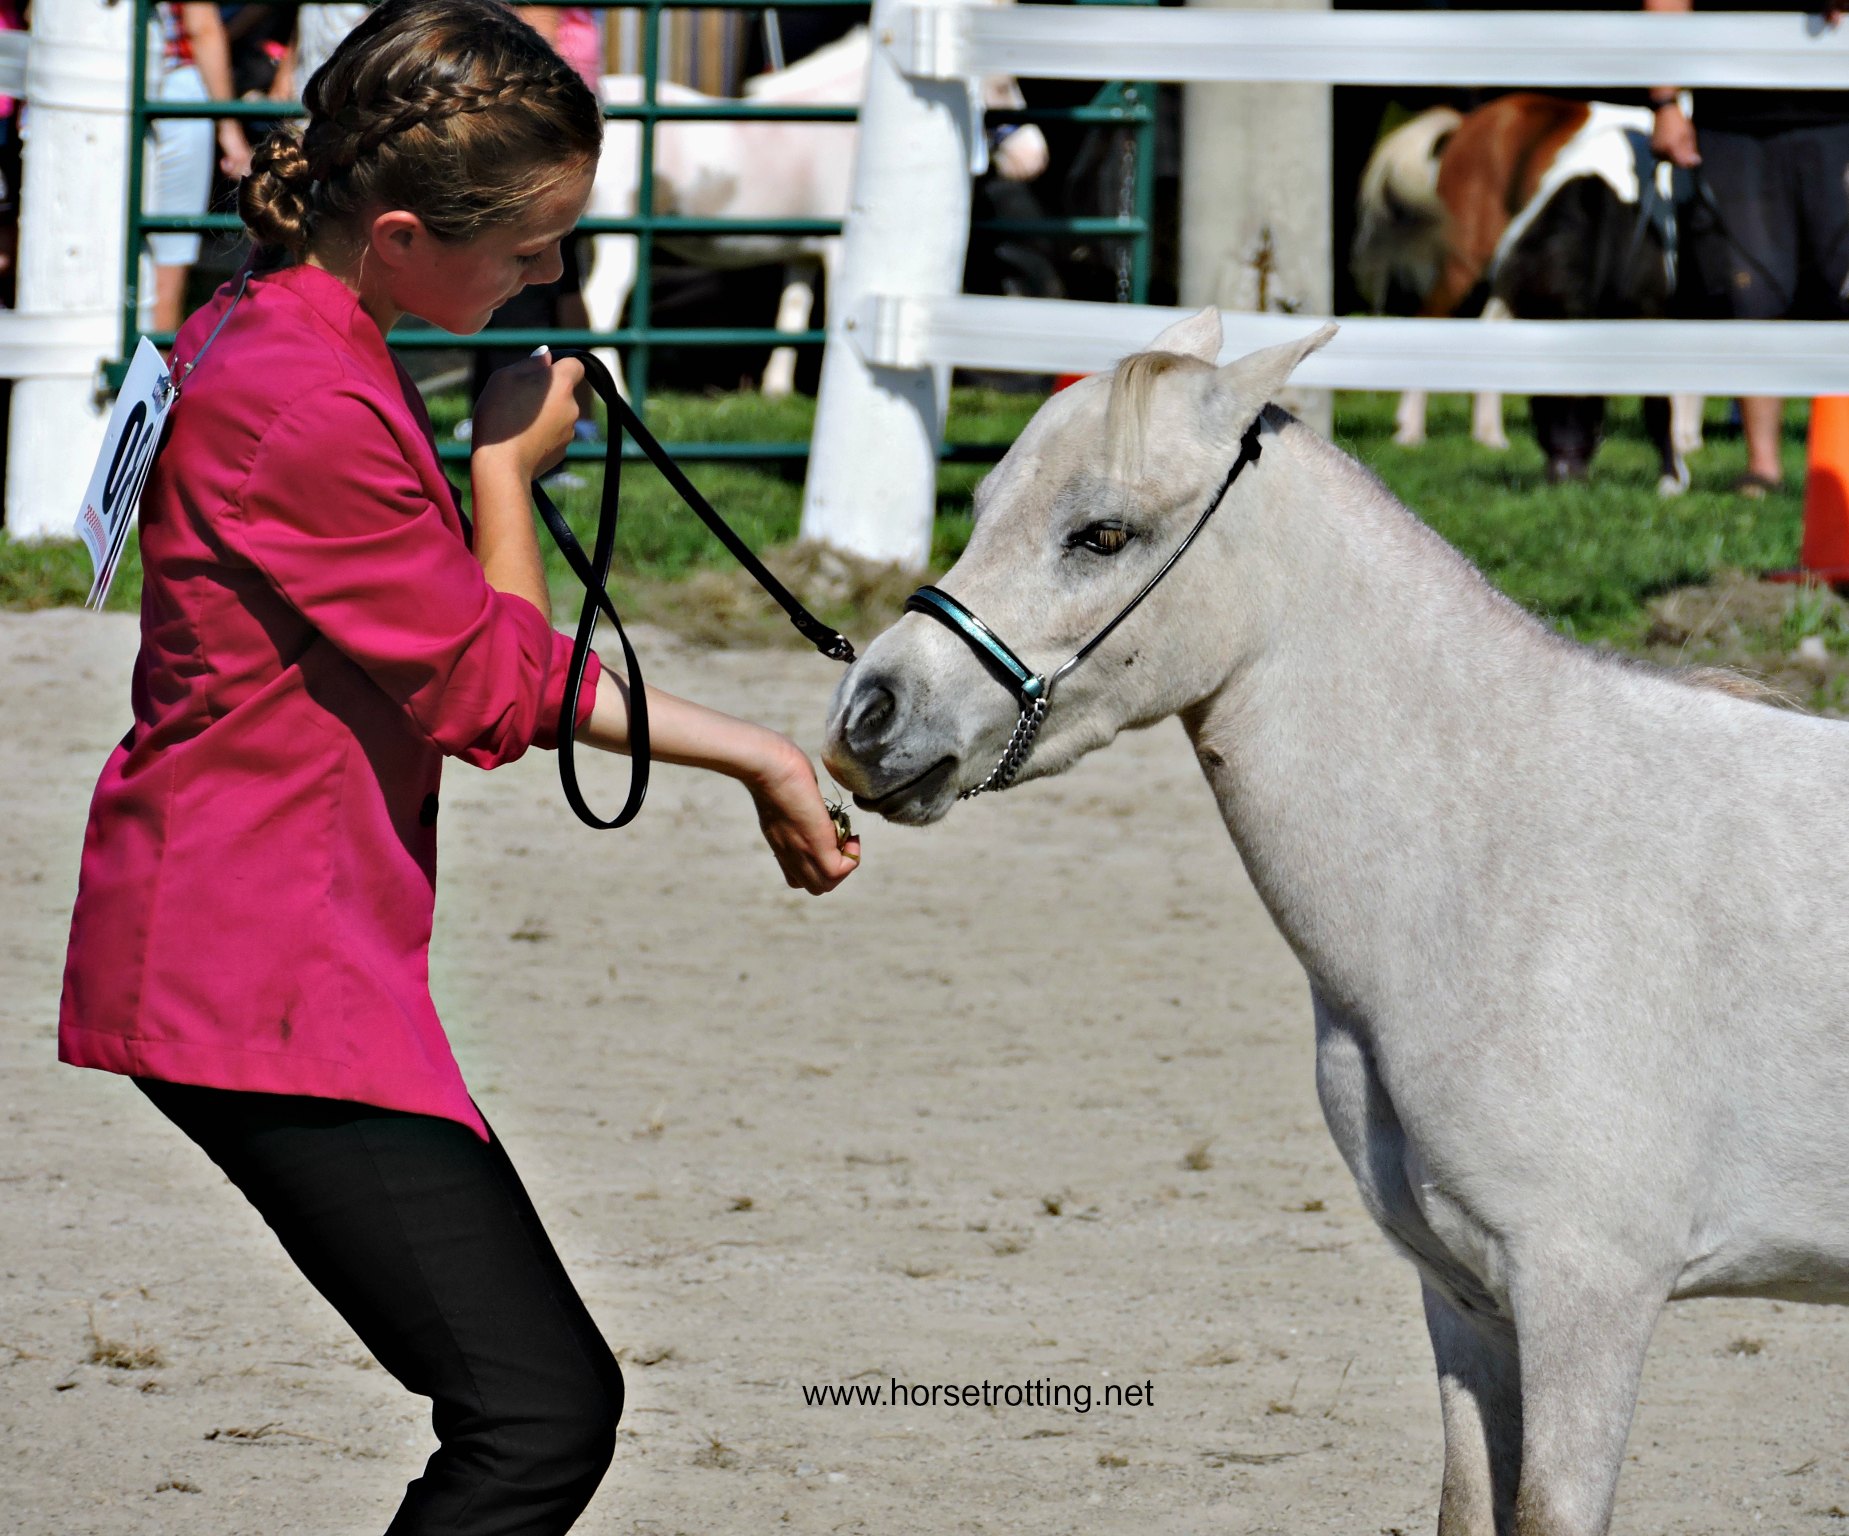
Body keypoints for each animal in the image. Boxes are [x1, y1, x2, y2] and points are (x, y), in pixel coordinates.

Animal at [582, 26, 1048, 399]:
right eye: (1003, 85)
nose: (1036, 159)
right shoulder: (841, 250)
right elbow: (832, 317)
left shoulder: (804, 252)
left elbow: (793, 313)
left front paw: (776, 392)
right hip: (618, 238)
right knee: (601, 302)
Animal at [821, 308, 1849, 1536]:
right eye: (980, 510)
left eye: (1102, 534)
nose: (868, 719)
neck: (1510, 859)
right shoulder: (1468, 1300)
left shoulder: (1587, 1297)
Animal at [1354, 95, 1703, 491]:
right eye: (1541, 400)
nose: (1565, 475)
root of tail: (1470, 121)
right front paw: (1676, 468)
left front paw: (1674, 469)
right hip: (1464, 261)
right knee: (1430, 323)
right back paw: (1411, 431)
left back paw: (1489, 435)